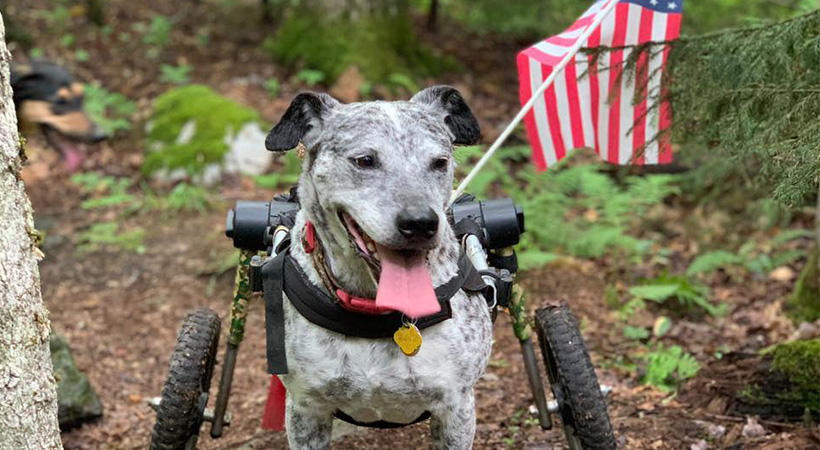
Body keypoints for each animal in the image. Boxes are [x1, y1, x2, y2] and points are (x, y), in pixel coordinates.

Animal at [266, 85, 490, 450]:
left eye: (440, 162)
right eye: (365, 160)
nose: (421, 223)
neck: (373, 309)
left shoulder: (456, 409)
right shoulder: (306, 410)